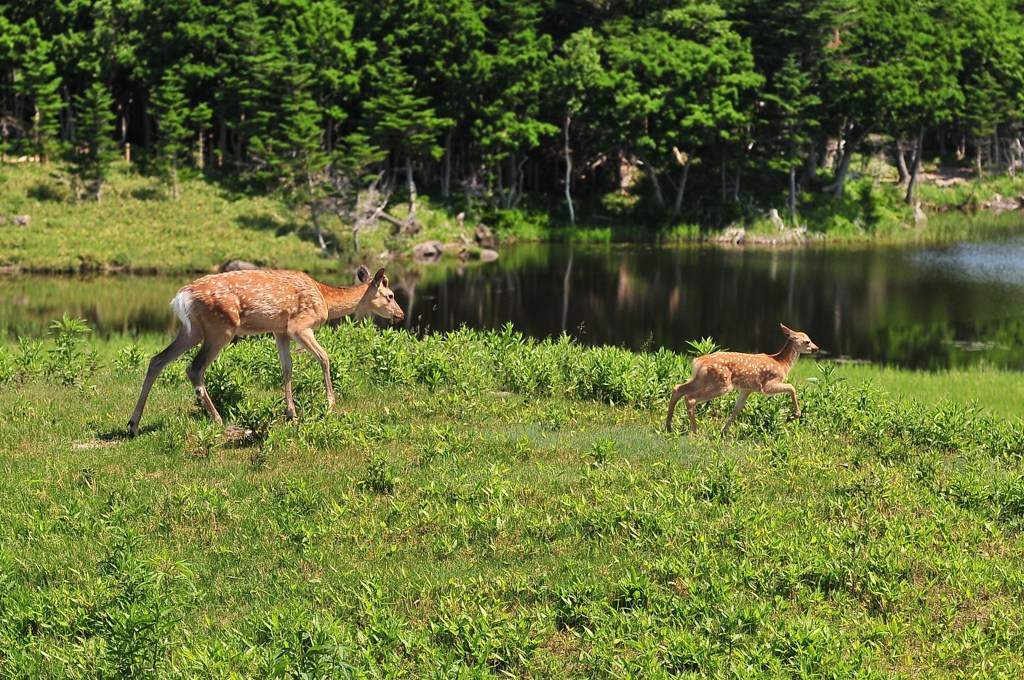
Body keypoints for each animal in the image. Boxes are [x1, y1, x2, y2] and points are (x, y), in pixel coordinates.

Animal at [125, 266, 401, 436]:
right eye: (390, 295)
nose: (400, 314)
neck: (325, 300)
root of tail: (180, 298)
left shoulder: (280, 330)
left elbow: (287, 368)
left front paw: (291, 414)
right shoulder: (299, 325)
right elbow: (325, 357)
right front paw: (330, 404)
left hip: (192, 330)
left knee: (157, 360)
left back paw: (133, 424)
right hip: (221, 327)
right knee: (194, 367)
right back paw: (219, 420)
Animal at [667, 325, 819, 436]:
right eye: (807, 341)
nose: (816, 348)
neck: (781, 364)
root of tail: (699, 362)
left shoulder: (746, 389)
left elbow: (737, 409)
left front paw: (724, 432)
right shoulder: (767, 385)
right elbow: (792, 387)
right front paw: (793, 416)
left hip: (701, 379)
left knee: (677, 389)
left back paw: (668, 426)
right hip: (722, 383)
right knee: (690, 397)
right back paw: (696, 431)